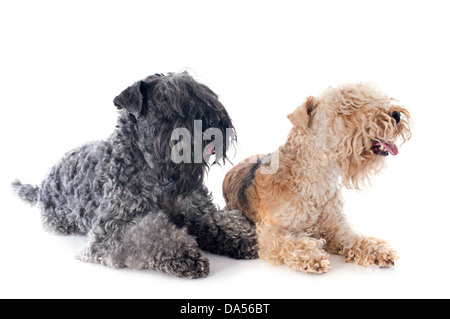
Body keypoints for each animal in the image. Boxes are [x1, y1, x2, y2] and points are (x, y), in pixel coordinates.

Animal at [13, 72, 256, 278]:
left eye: (204, 94)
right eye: (166, 103)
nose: (214, 122)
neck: (159, 176)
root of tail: (41, 186)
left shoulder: (198, 212)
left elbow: (220, 220)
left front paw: (245, 238)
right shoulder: (113, 230)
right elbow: (149, 235)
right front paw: (184, 255)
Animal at [223, 84, 414, 274]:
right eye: (346, 108)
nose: (396, 114)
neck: (317, 178)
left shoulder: (337, 226)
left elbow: (357, 239)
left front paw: (379, 250)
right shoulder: (272, 230)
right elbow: (291, 242)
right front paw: (310, 255)